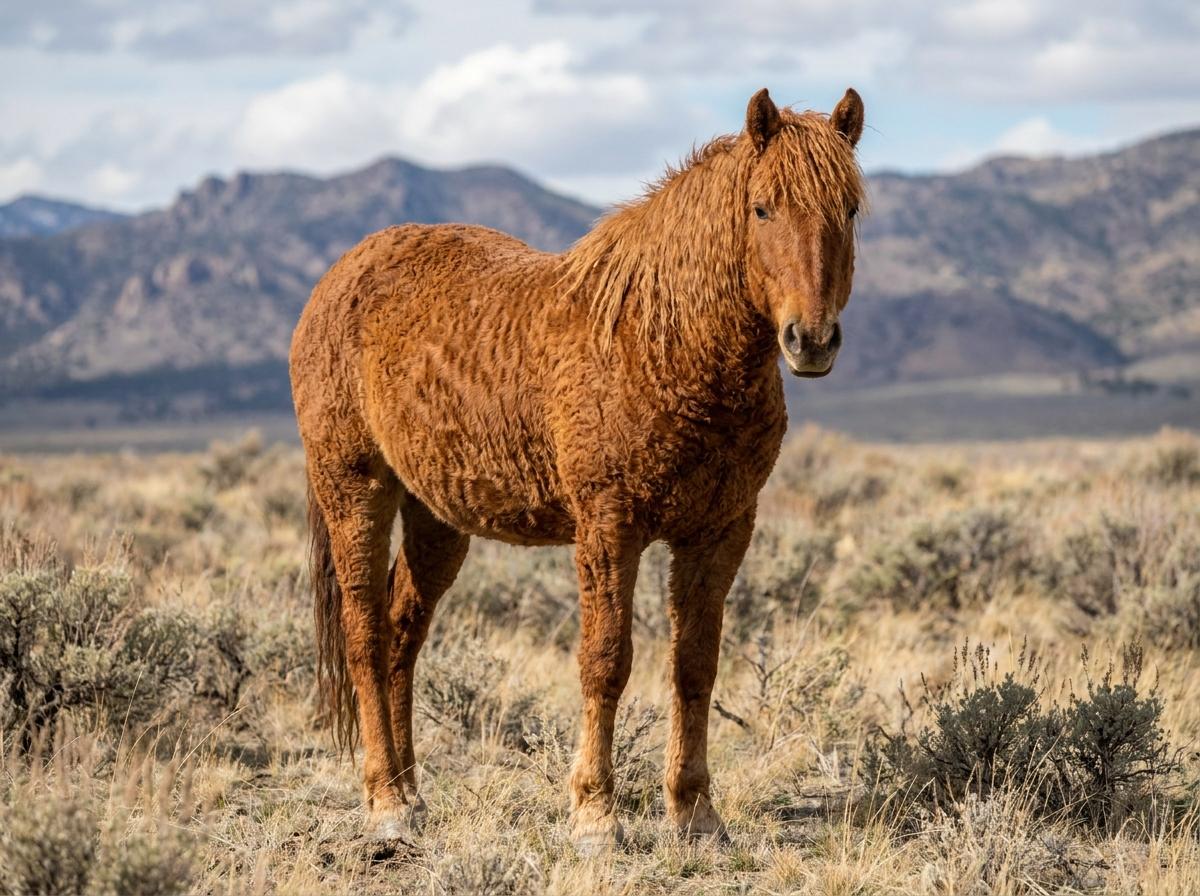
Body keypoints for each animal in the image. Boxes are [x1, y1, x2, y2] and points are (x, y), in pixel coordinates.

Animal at [289, 86, 865, 851]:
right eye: (763, 208)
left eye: (850, 210)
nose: (812, 340)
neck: (662, 340)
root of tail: (340, 274)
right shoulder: (608, 528)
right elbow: (607, 662)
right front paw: (594, 813)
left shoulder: (718, 532)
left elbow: (695, 666)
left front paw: (695, 811)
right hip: (355, 489)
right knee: (364, 633)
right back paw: (384, 801)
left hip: (435, 517)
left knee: (401, 637)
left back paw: (413, 793)